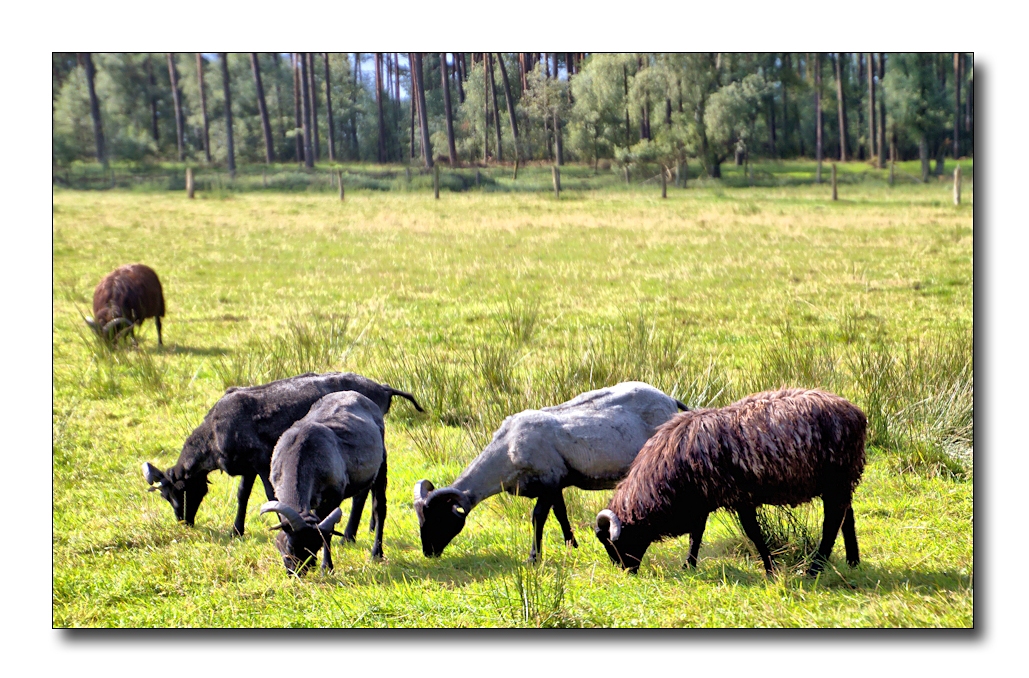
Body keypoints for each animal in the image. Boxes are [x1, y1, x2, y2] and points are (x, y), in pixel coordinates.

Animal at [413, 382, 687, 563]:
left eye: (438, 519)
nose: (428, 553)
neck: (507, 448)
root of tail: (669, 400)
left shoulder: (548, 479)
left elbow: (538, 518)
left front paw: (533, 558)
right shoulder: (556, 484)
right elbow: (561, 514)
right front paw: (572, 545)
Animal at [596, 388, 868, 576]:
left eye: (612, 543)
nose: (626, 572)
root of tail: (856, 413)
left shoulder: (740, 497)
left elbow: (753, 533)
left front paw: (770, 569)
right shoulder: (702, 499)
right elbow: (697, 534)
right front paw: (689, 565)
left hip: (837, 478)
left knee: (832, 522)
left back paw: (815, 568)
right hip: (840, 481)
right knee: (847, 516)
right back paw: (853, 561)